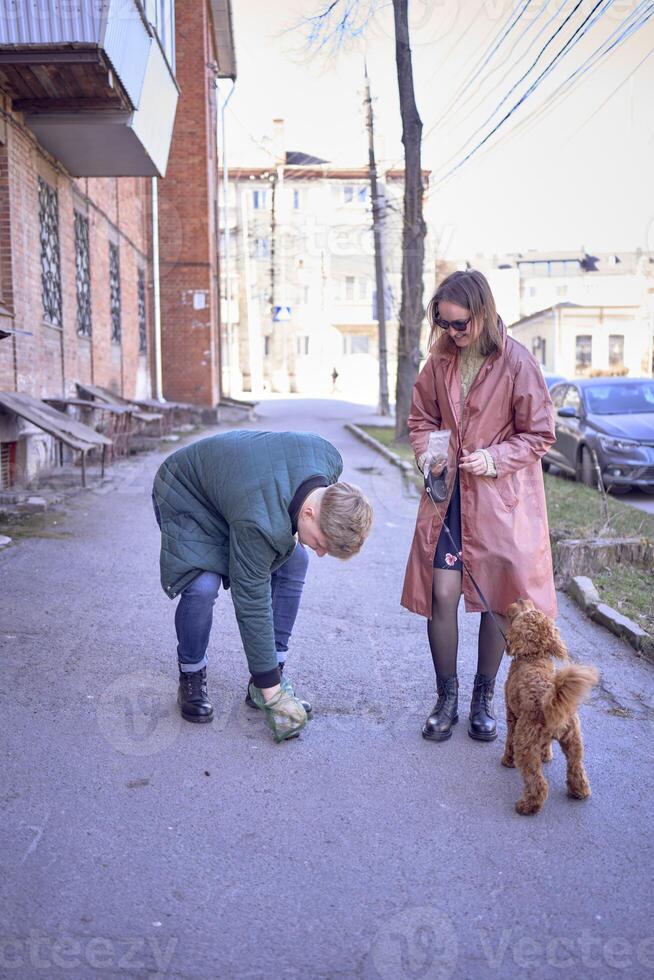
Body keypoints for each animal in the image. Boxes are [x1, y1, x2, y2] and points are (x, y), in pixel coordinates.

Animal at [504, 600, 604, 816]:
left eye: (526, 612)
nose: (521, 599)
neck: (534, 657)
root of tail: (549, 700)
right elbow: (546, 746)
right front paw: (546, 756)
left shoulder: (511, 715)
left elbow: (508, 740)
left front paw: (507, 761)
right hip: (574, 740)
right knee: (576, 768)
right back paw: (580, 792)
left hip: (525, 742)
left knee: (538, 783)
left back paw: (527, 806)